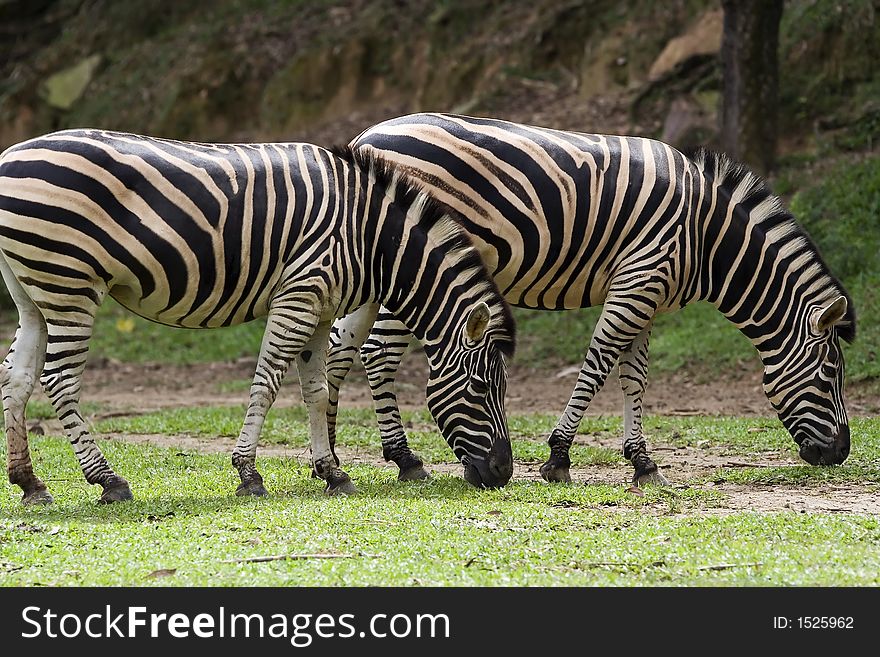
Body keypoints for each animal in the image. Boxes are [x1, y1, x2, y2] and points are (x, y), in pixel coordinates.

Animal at [0, 131, 516, 504]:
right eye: (478, 388)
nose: (503, 472)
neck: (369, 238)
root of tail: (9, 156)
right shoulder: (300, 294)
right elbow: (267, 384)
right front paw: (249, 473)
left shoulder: (321, 307)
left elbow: (315, 390)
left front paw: (332, 472)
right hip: (69, 284)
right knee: (59, 381)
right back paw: (108, 481)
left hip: (32, 293)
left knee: (17, 376)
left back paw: (29, 484)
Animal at [324, 111, 852, 482]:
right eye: (830, 374)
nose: (842, 451)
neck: (707, 237)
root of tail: (366, 137)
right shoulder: (638, 280)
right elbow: (597, 366)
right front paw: (558, 458)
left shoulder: (648, 295)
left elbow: (634, 378)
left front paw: (642, 462)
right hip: (411, 269)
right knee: (378, 354)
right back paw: (405, 460)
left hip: (374, 273)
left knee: (340, 348)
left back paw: (332, 457)